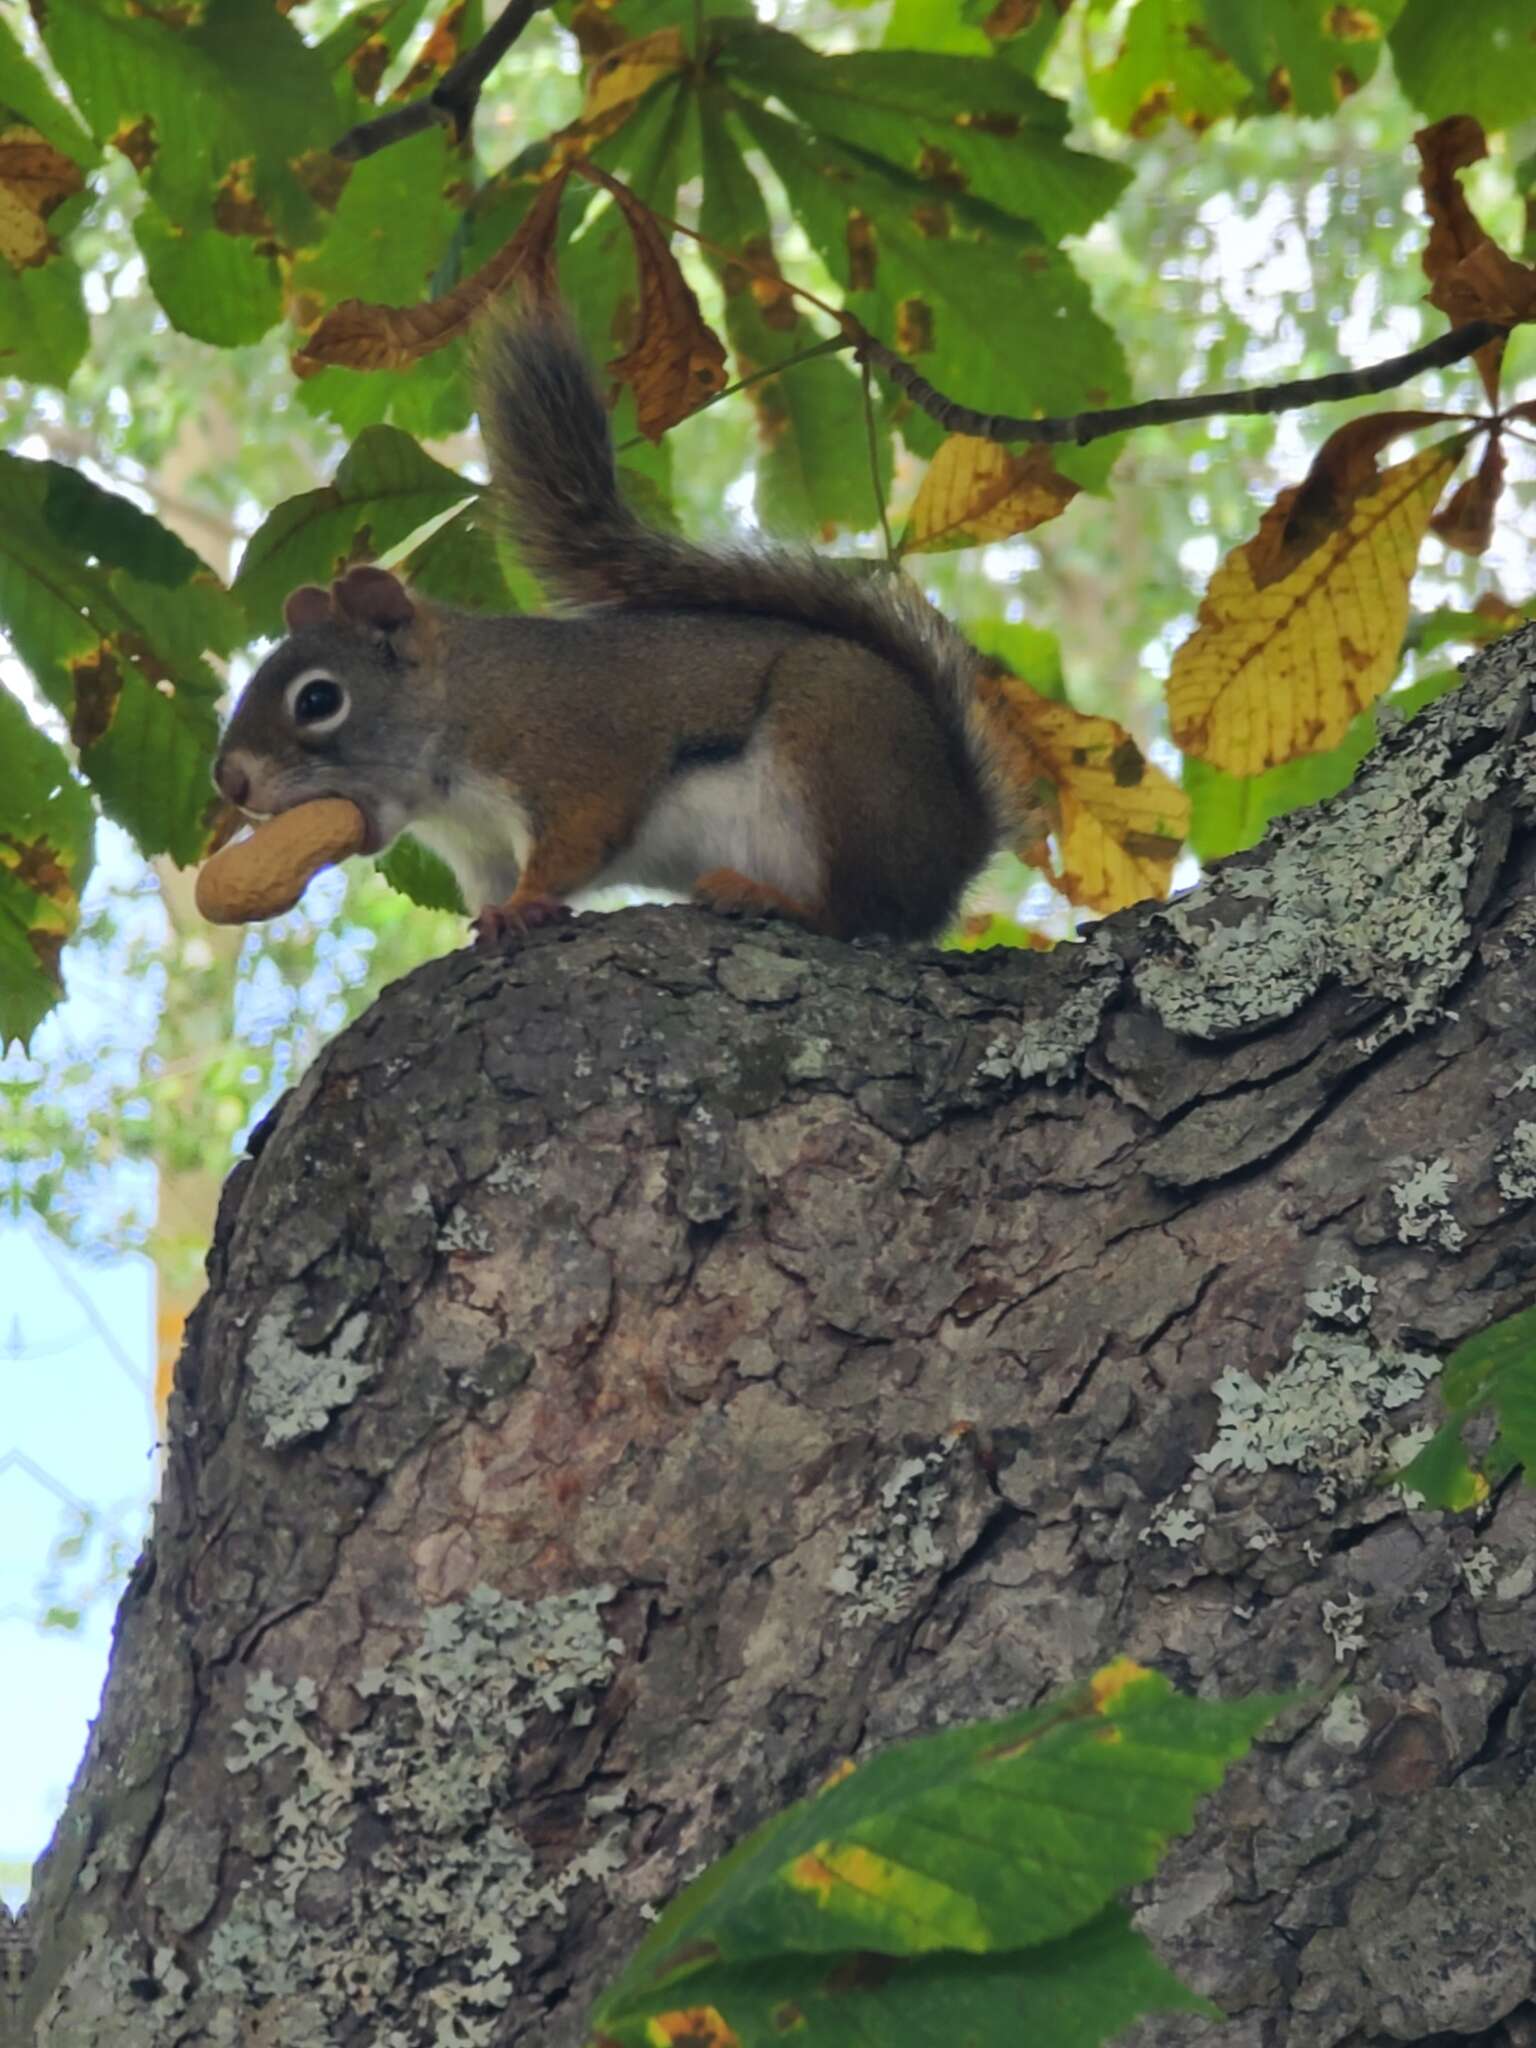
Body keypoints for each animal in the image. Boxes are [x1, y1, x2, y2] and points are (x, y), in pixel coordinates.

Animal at [210, 303, 1040, 942]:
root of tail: (958, 843)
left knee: (862, 912)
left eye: (319, 699)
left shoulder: (569, 757)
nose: (230, 780)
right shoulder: (479, 852)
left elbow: (578, 840)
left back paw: (768, 898)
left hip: (836, 758)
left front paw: (524, 908)